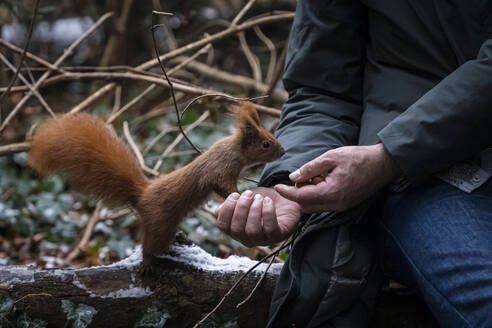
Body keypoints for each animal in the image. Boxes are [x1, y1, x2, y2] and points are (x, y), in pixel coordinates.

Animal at [27, 102, 284, 274]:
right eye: (265, 143)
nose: (282, 152)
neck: (234, 150)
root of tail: (142, 196)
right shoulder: (220, 169)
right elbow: (222, 185)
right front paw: (238, 195)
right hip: (159, 221)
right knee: (148, 245)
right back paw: (148, 263)